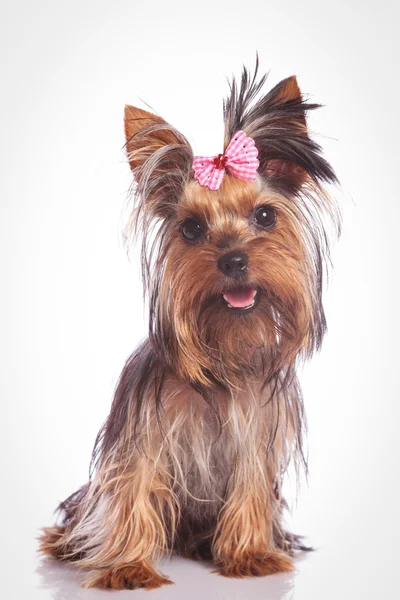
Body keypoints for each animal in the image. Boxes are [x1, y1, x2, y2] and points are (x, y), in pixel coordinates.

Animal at [39, 62, 340, 592]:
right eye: (192, 228)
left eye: (265, 215)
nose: (233, 260)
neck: (224, 350)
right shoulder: (142, 432)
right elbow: (133, 486)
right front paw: (127, 567)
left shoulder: (256, 431)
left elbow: (250, 486)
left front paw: (249, 554)